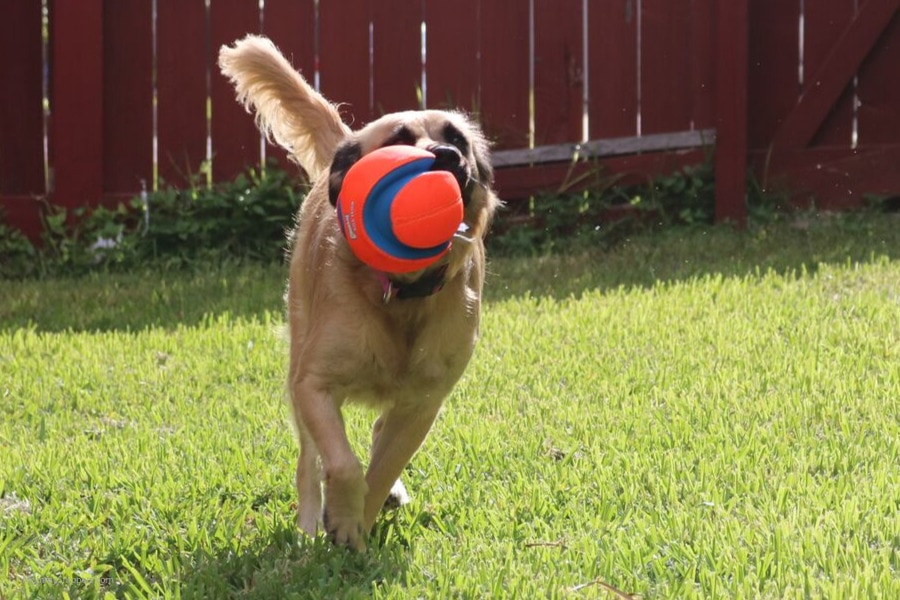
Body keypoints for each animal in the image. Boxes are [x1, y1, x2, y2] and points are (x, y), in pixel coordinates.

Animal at [218, 34, 500, 548]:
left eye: (457, 139)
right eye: (399, 139)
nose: (447, 157)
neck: (402, 293)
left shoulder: (423, 403)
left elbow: (381, 469)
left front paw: (361, 524)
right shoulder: (313, 384)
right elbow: (342, 464)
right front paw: (341, 522)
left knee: (377, 431)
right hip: (298, 354)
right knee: (309, 460)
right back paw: (311, 521)